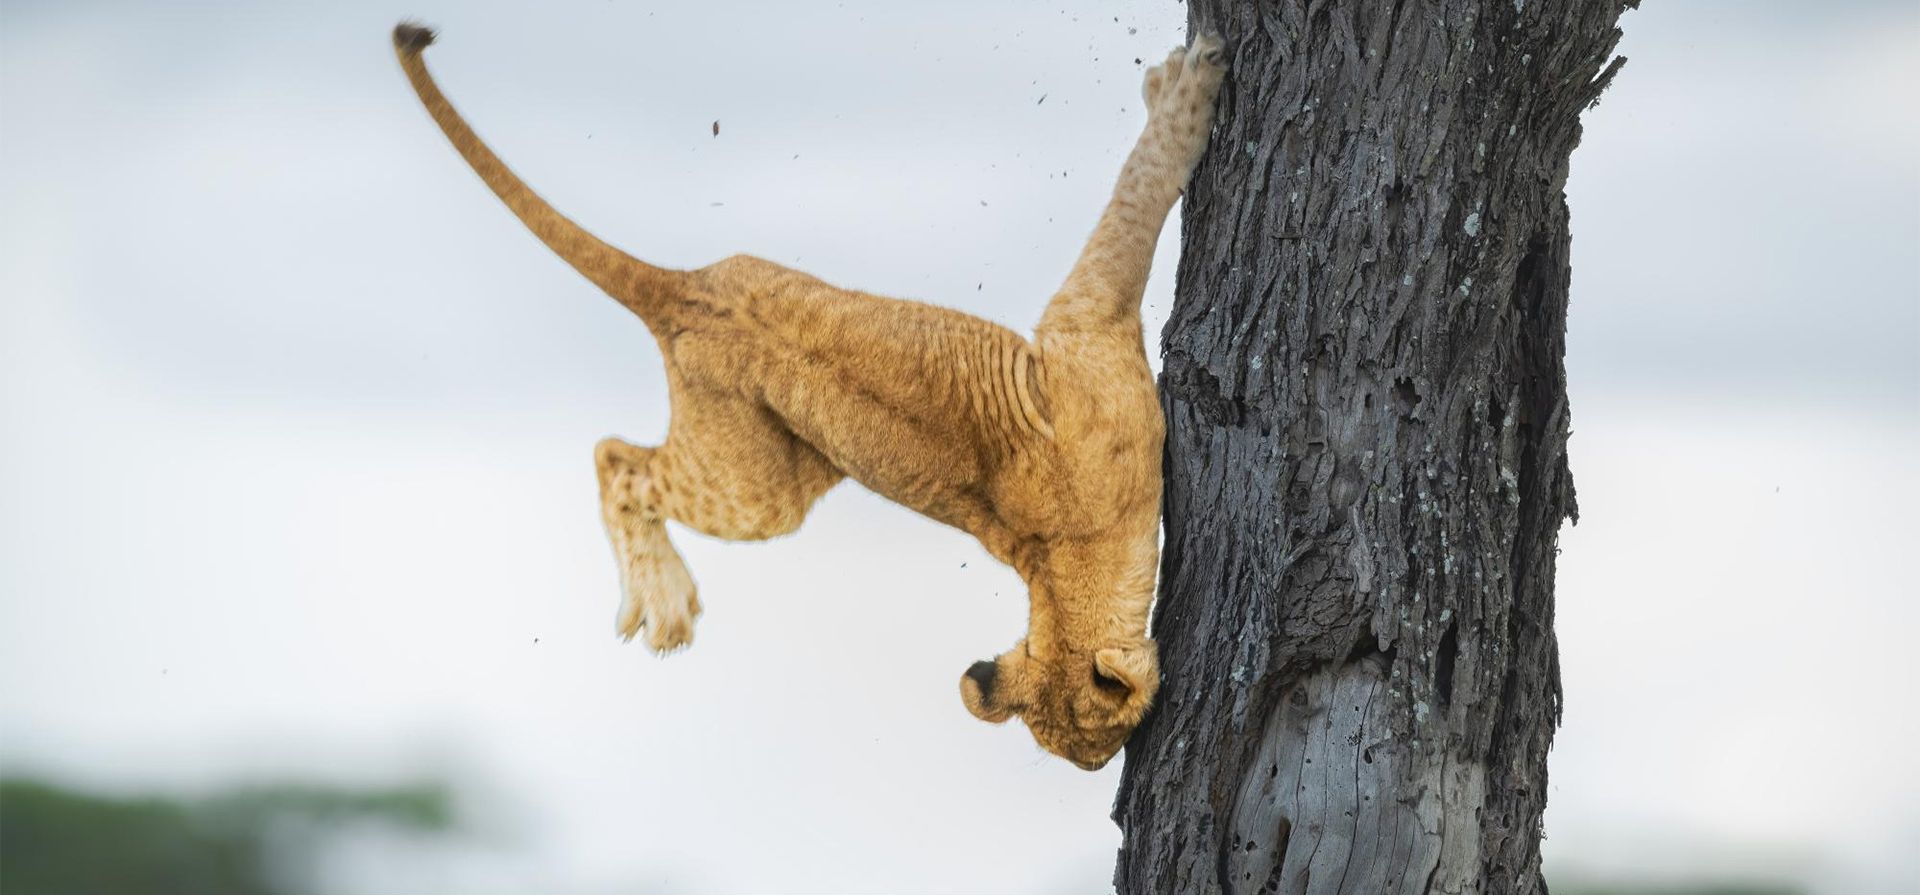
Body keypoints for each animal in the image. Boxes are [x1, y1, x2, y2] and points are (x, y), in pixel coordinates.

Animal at [393, 22, 1224, 770]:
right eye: (1103, 748)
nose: (1100, 776)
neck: (1056, 574)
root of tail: (678, 291)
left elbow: (1132, 200)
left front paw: (1172, 83)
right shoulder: (1083, 326)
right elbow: (1134, 203)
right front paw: (1186, 87)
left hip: (803, 449)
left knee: (622, 450)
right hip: (758, 493)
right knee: (615, 459)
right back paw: (662, 603)